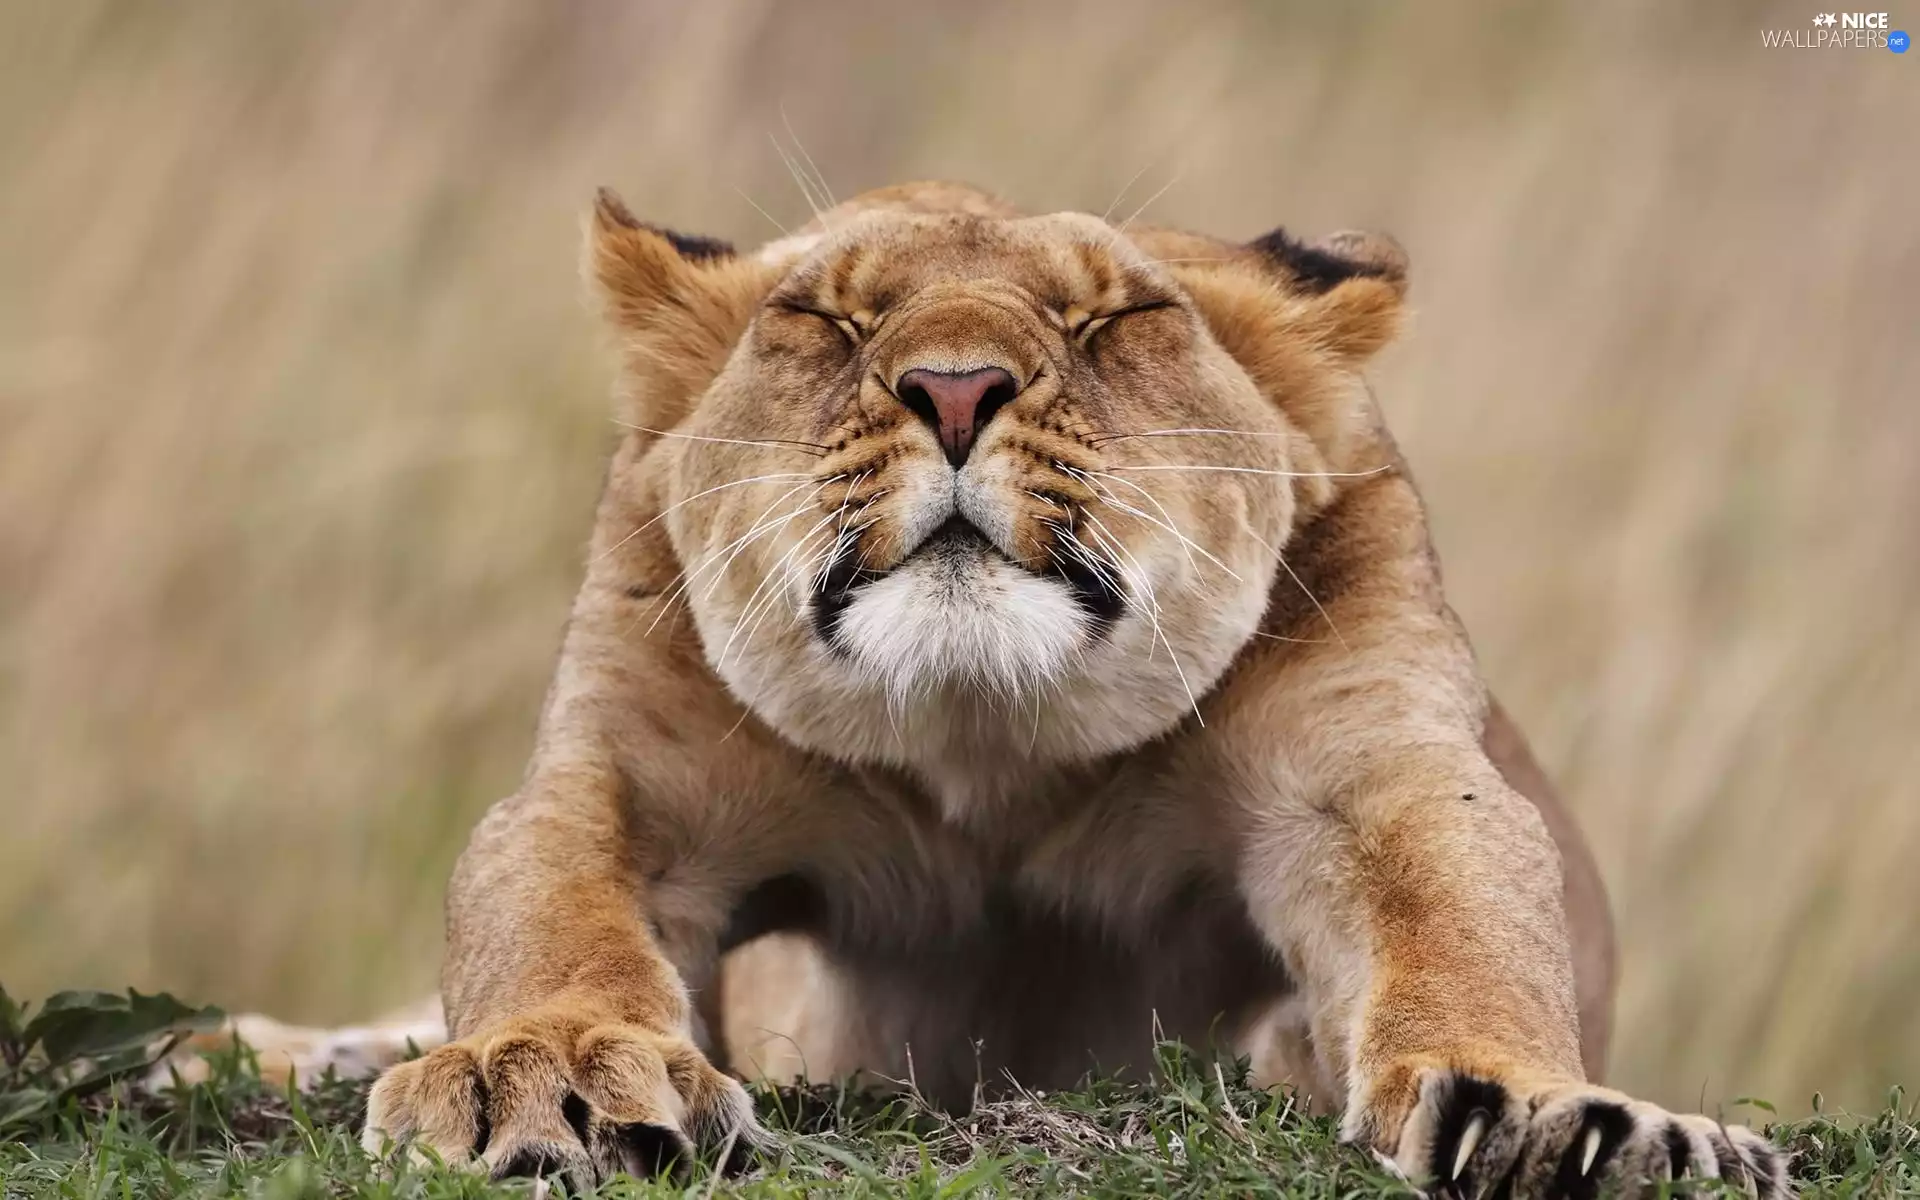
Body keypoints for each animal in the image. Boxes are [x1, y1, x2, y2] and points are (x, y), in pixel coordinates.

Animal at [195, 180, 1788, 1196]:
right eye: (826, 321)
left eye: (1111, 322)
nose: (954, 390)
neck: (993, 750)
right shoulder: (623, 778)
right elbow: (544, 908)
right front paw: (549, 1077)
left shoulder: (1375, 777)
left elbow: (1467, 925)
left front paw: (1556, 1118)